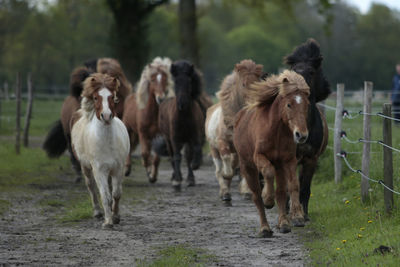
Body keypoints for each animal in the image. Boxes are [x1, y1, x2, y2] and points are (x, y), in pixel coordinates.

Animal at [70, 74, 130, 230]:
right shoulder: (99, 170)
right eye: (96, 97)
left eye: (112, 96)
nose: (107, 116)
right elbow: (105, 195)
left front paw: (116, 217)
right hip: (85, 166)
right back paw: (97, 212)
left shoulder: (118, 168)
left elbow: (116, 193)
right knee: (90, 186)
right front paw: (108, 221)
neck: (107, 143)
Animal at [158, 60, 205, 192]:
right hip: (168, 139)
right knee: (172, 156)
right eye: (176, 81)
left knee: (187, 156)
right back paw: (175, 176)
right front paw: (177, 181)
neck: (184, 116)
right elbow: (177, 157)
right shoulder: (175, 138)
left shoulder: (194, 136)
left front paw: (194, 167)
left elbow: (195, 151)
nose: (182, 103)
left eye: (189, 81)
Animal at [206, 60, 266, 203]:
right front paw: (226, 178)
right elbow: (226, 164)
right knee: (218, 169)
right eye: (243, 84)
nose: (254, 103)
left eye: (258, 82)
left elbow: (242, 169)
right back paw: (224, 192)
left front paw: (246, 191)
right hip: (214, 149)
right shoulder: (222, 142)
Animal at [234, 70, 310, 238]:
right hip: (248, 167)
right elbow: (268, 173)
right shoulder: (260, 157)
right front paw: (268, 199)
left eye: (307, 104)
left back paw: (284, 224)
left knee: (281, 192)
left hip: (280, 167)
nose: (301, 135)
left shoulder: (288, 160)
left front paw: (298, 217)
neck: (276, 132)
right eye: (289, 104)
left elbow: (293, 185)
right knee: (256, 196)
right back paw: (265, 229)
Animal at [284, 39, 332, 220]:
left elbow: (304, 187)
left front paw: (303, 214)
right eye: (293, 71)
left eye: (311, 72)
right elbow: (289, 186)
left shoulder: (311, 159)